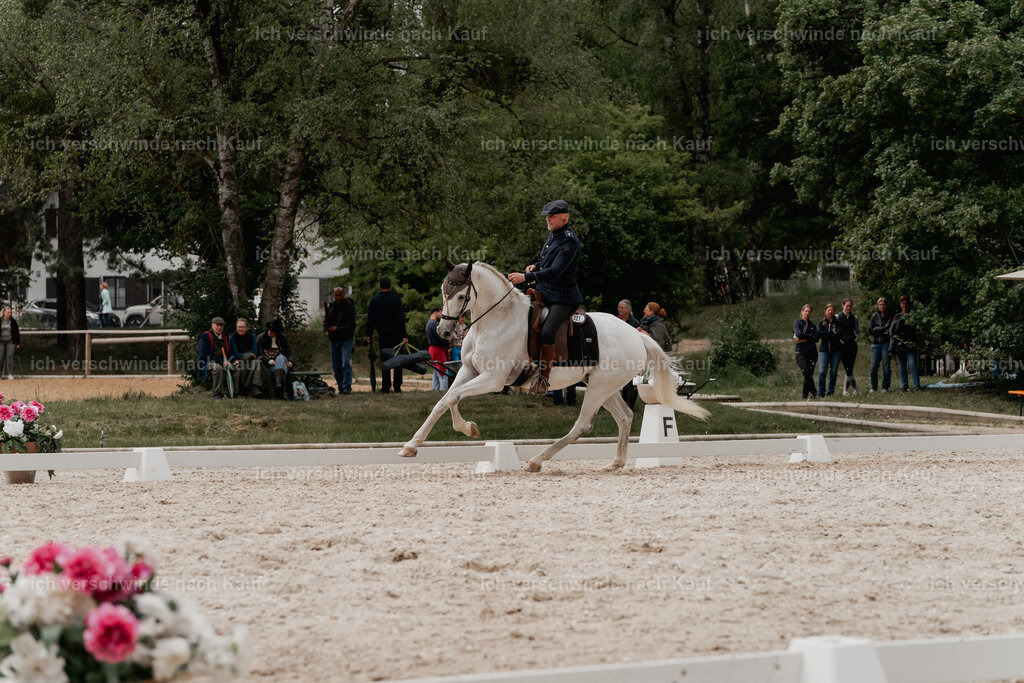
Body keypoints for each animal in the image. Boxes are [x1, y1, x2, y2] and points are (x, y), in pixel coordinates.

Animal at [398, 260, 709, 471]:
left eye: (462, 296)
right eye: (444, 291)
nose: (445, 332)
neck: (497, 319)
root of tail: (637, 334)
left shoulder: (493, 378)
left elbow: (452, 396)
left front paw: (466, 428)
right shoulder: (468, 371)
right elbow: (446, 399)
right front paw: (414, 444)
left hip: (598, 388)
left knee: (583, 425)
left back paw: (537, 460)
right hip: (604, 387)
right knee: (624, 417)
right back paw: (616, 463)